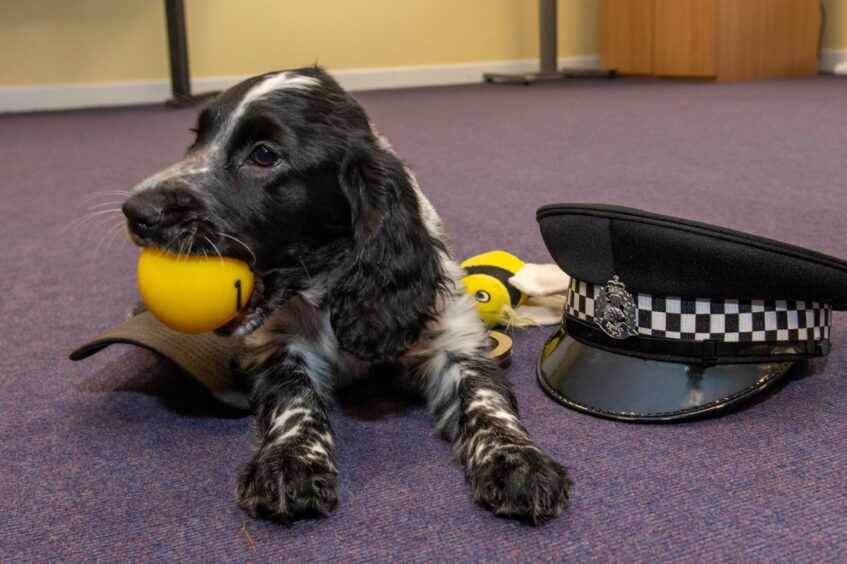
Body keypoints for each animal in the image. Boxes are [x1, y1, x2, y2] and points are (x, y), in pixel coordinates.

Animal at [122, 66, 572, 524]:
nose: (135, 212)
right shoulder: (279, 346)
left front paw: (517, 461)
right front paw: (290, 460)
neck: (329, 285)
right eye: (197, 141)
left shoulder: (454, 341)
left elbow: (487, 399)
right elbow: (293, 399)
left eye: (264, 154)